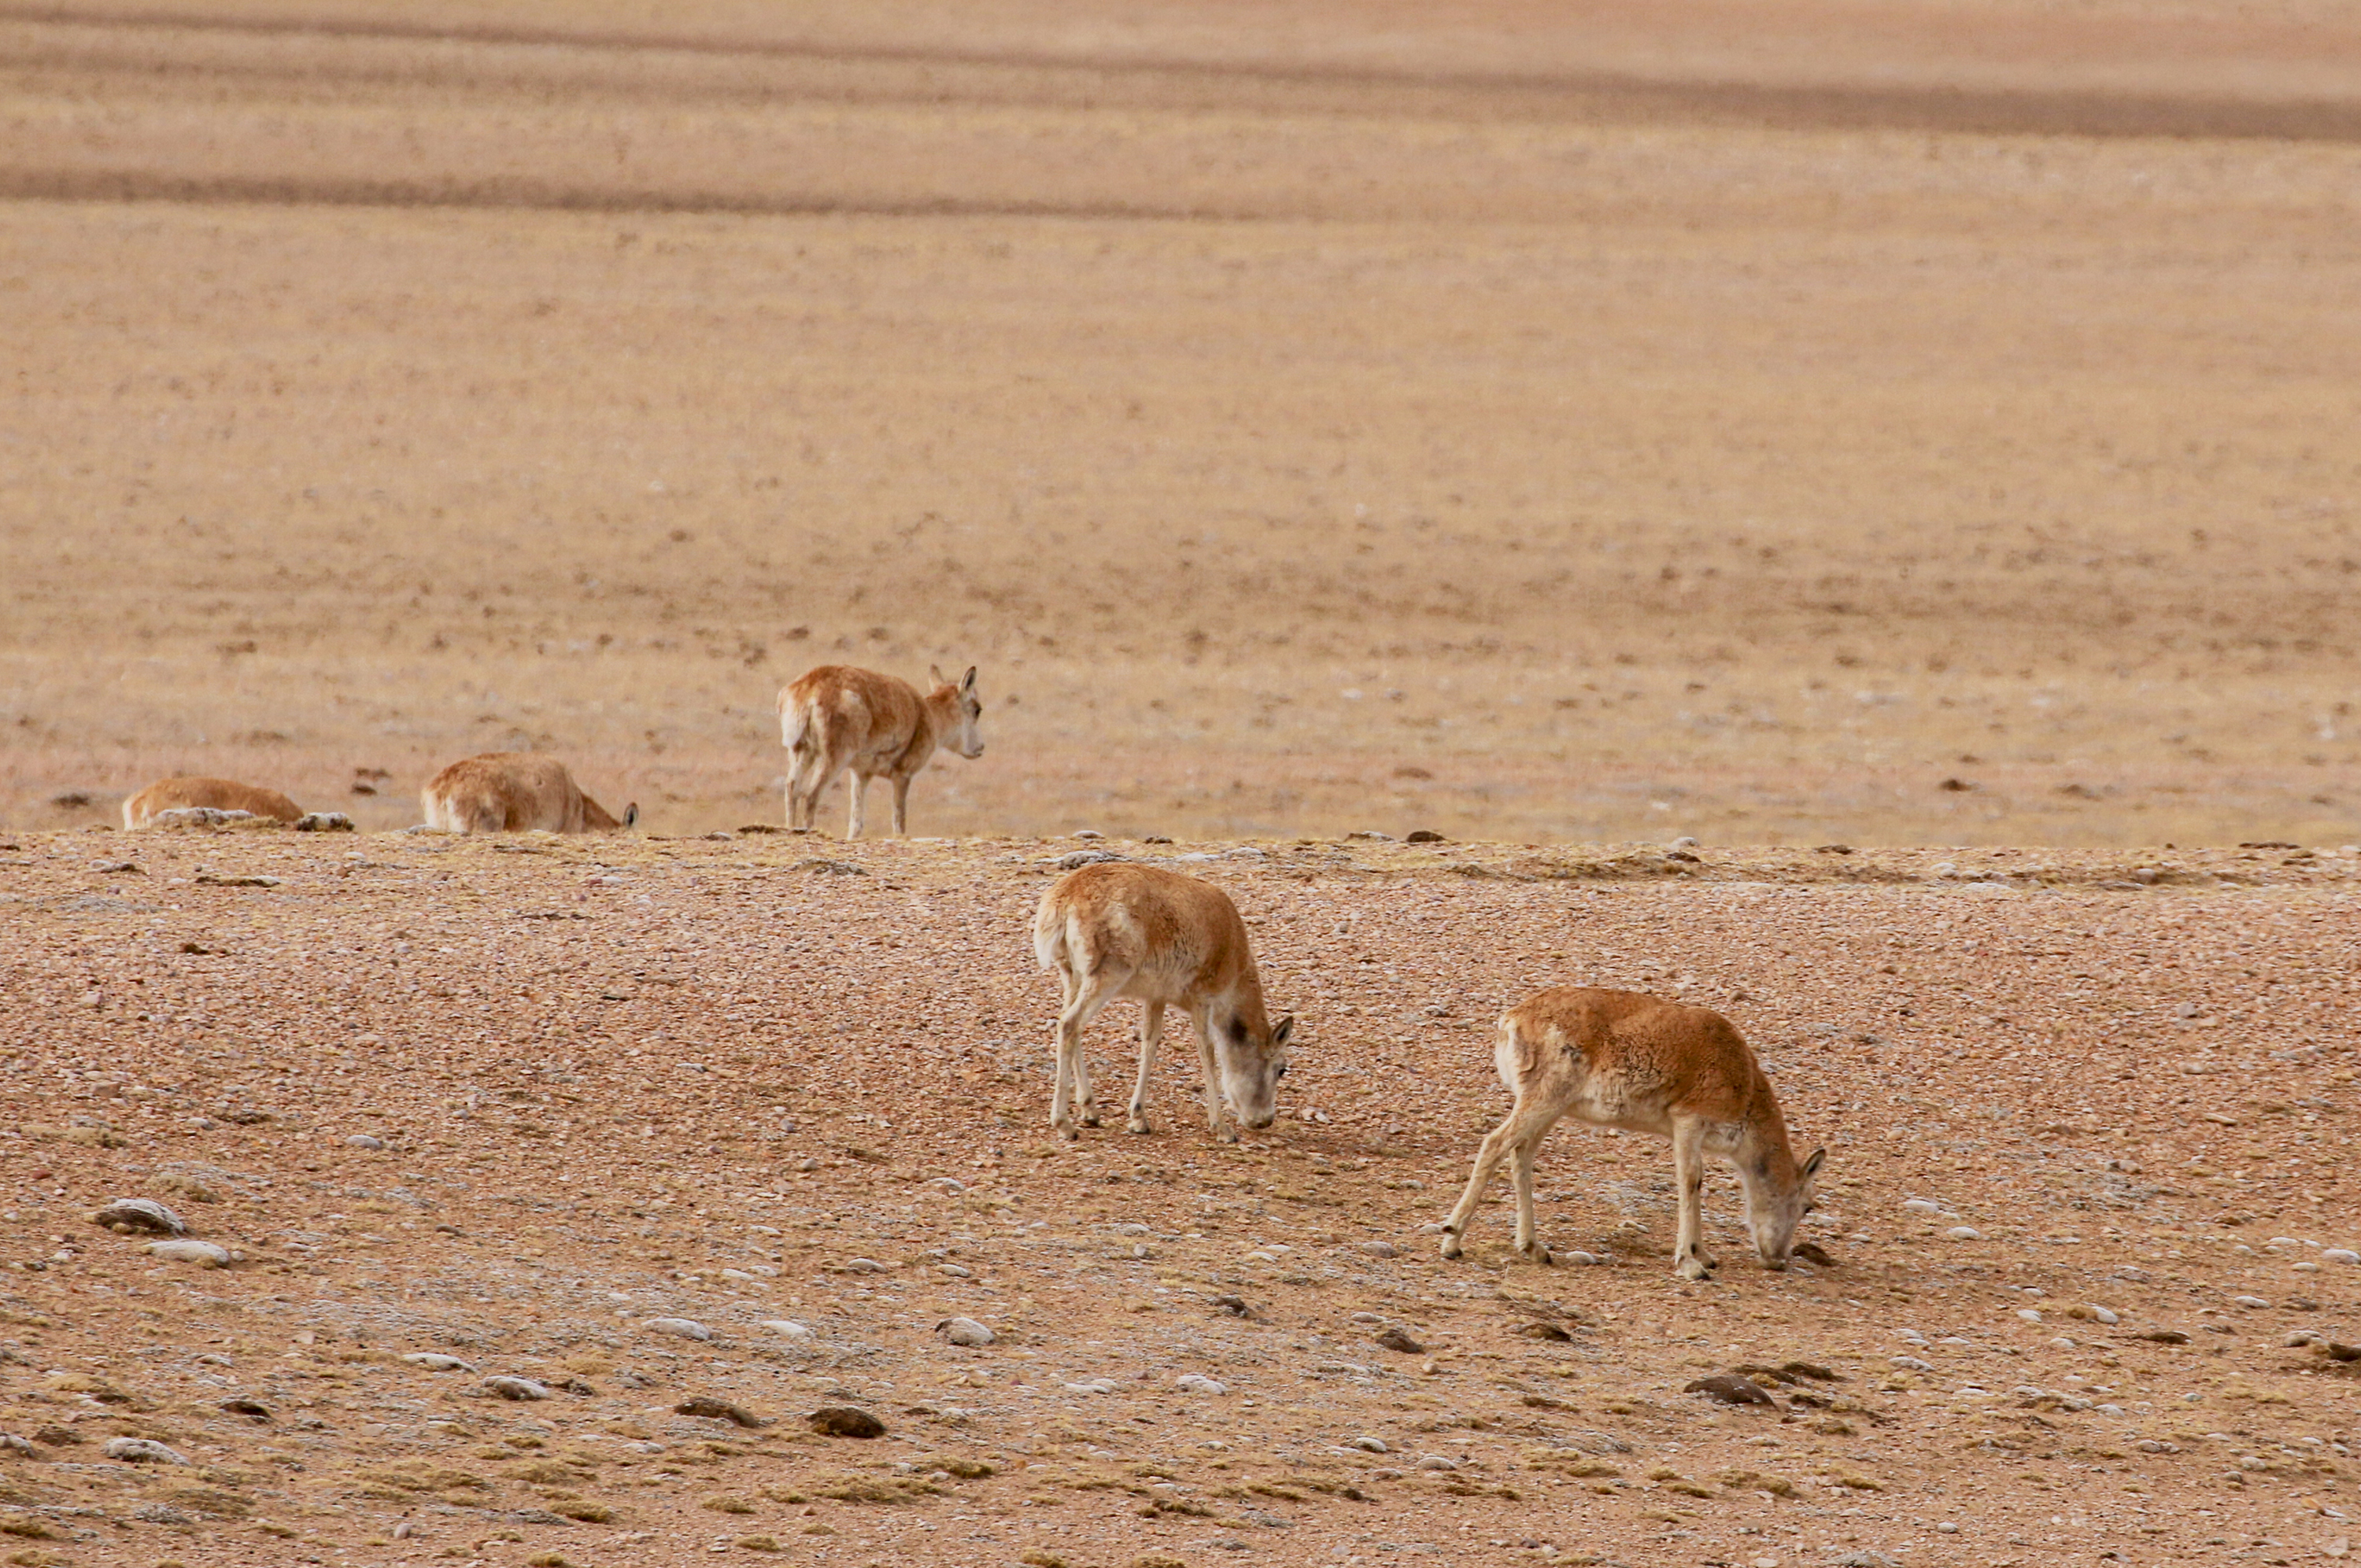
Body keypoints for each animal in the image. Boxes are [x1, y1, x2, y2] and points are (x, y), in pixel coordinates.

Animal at [779, 661, 982, 840]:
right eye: (977, 710)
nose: (980, 748)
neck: (927, 714)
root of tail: (810, 685)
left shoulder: (861, 774)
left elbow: (856, 824)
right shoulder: (903, 775)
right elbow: (899, 823)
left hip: (802, 752)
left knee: (792, 788)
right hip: (833, 759)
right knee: (810, 795)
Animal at [1034, 864, 1294, 1147]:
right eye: (1281, 1069)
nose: (1265, 1120)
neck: (1234, 973)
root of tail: (1061, 901)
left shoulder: (1156, 996)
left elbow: (1150, 1042)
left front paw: (1139, 1118)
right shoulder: (1202, 995)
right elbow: (1207, 1051)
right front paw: (1222, 1127)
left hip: (1071, 973)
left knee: (1067, 1020)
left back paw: (1090, 1111)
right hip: (1108, 972)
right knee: (1070, 1023)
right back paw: (1064, 1124)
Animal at [1435, 987, 1823, 1284]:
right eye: (1807, 1205)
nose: (1778, 1260)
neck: (1745, 1087)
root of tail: (1511, 1020)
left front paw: (1704, 1255)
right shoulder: (1688, 1122)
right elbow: (1690, 1182)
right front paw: (1691, 1265)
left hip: (1552, 1107)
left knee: (1522, 1154)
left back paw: (1534, 1249)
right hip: (1543, 1099)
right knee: (1495, 1144)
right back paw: (1452, 1240)